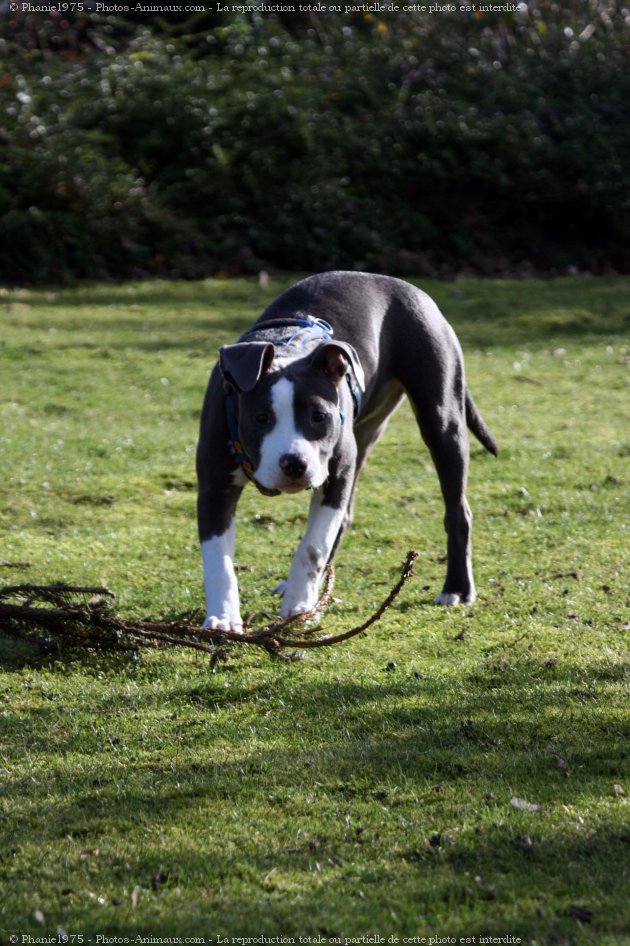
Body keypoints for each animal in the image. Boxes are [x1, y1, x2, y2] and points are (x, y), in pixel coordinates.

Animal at [198, 270, 498, 632]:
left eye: (319, 416)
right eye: (260, 418)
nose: (294, 464)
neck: (286, 352)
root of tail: (405, 285)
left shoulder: (336, 474)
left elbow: (313, 546)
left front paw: (300, 604)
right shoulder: (214, 487)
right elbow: (218, 559)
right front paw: (223, 618)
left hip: (441, 421)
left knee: (457, 510)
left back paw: (456, 588)